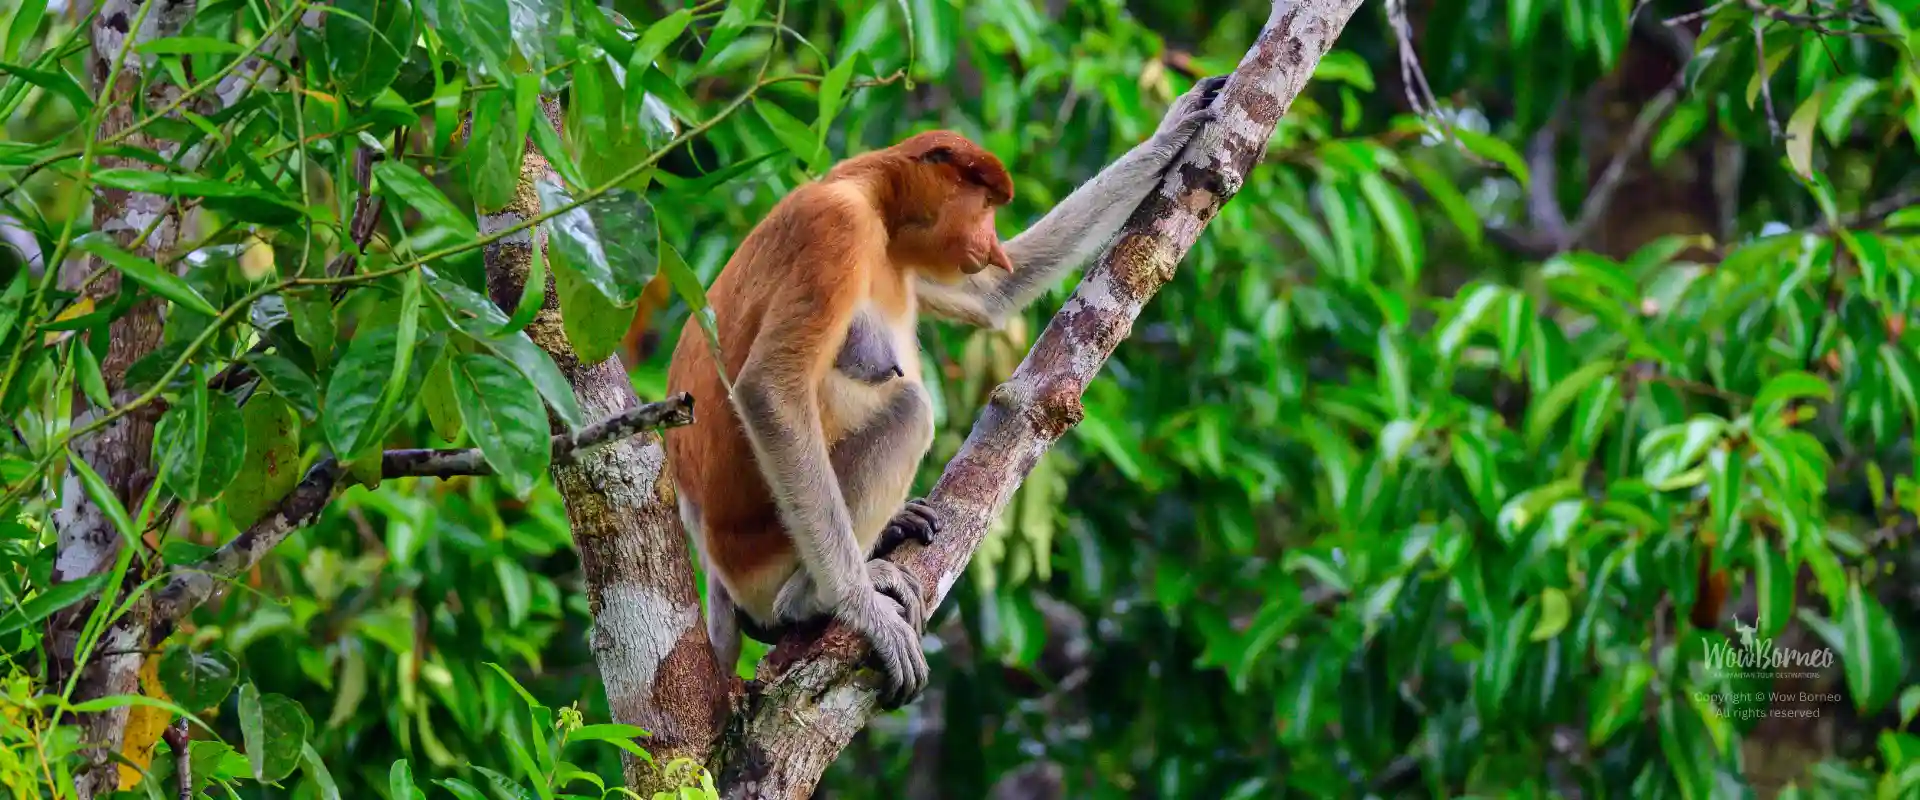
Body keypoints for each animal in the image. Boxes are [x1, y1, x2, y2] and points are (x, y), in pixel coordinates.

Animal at [665, 75, 1228, 707]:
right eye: (982, 204)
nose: (990, 243)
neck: (874, 200)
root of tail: (715, 563)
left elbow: (992, 294)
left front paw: (1175, 130)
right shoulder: (834, 228)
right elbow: (770, 392)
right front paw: (860, 609)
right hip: (762, 554)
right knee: (906, 410)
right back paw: (809, 598)